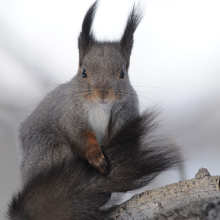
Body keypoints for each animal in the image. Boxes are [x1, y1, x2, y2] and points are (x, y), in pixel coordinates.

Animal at [7, 1, 180, 218]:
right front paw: (95, 156)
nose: (102, 93)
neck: (101, 108)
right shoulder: (70, 113)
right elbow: (78, 135)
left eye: (122, 73)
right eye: (84, 72)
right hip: (50, 152)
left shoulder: (127, 115)